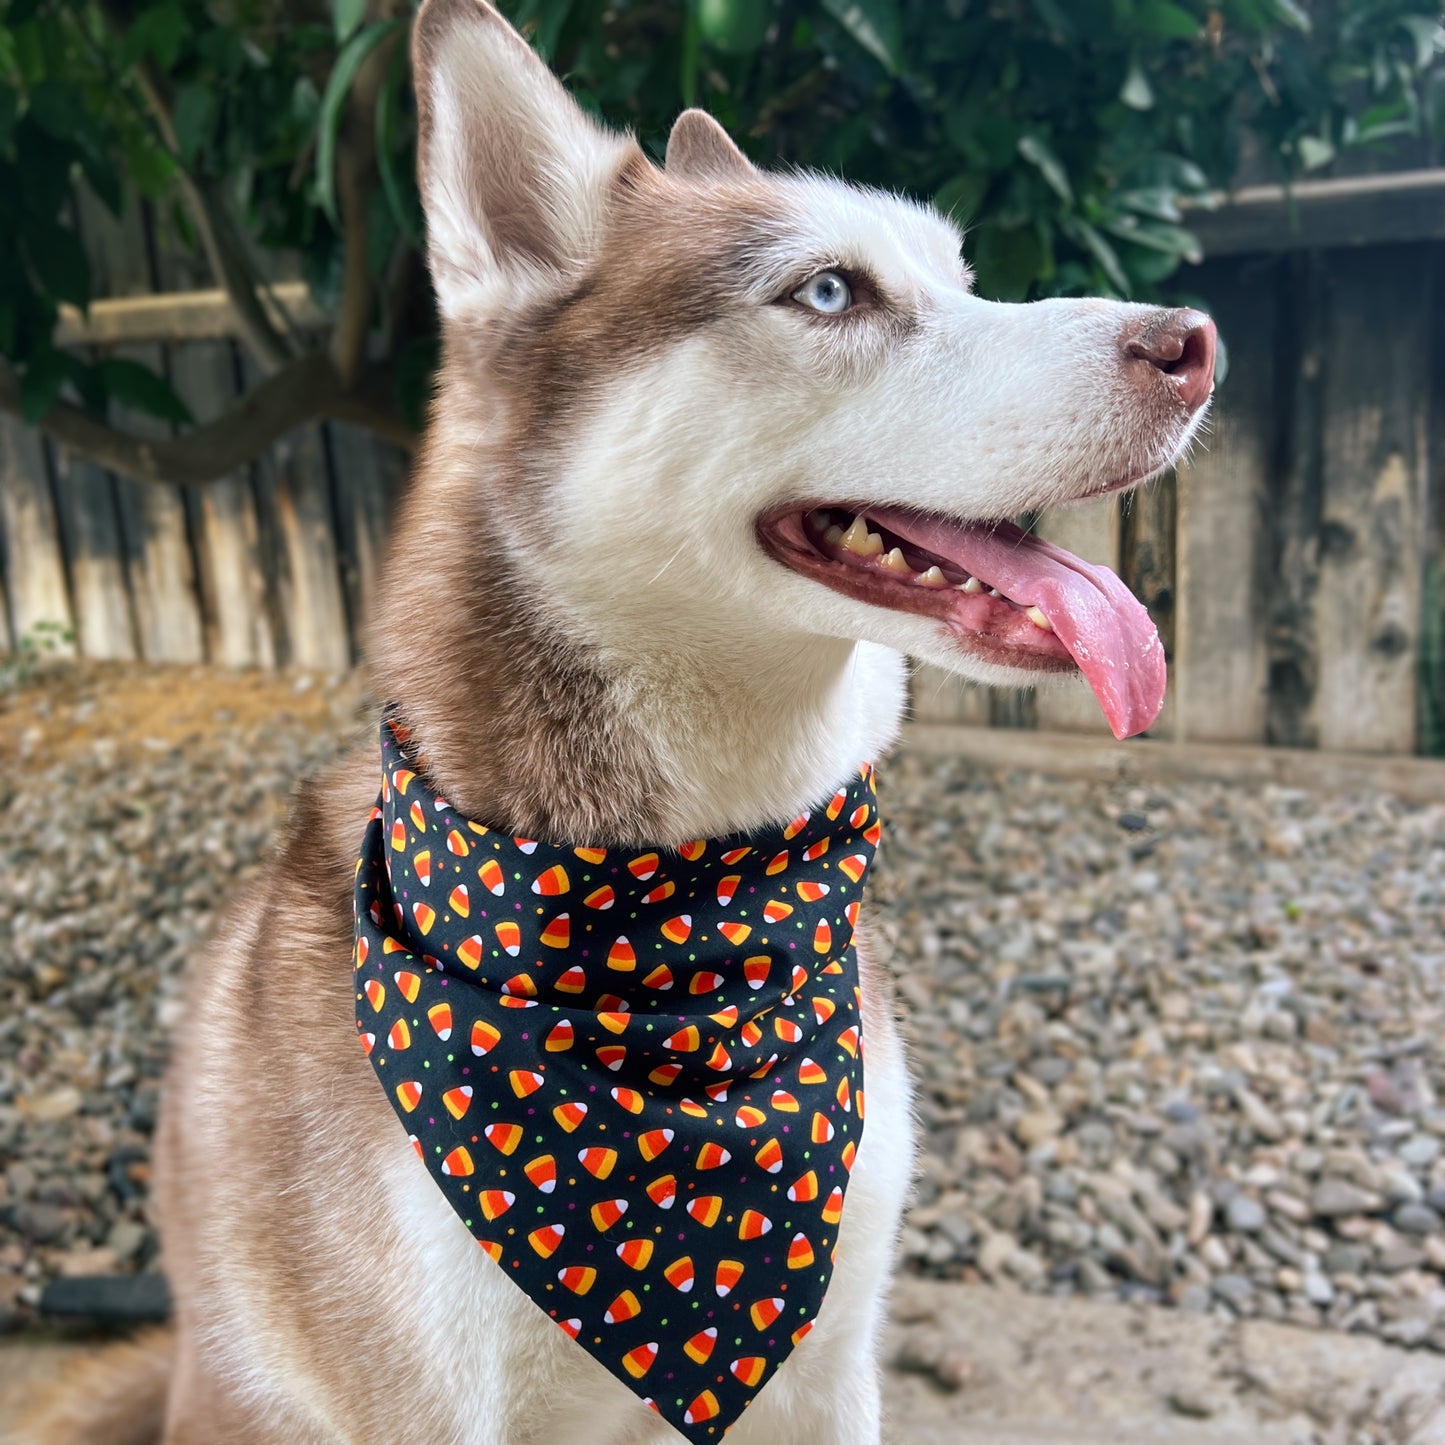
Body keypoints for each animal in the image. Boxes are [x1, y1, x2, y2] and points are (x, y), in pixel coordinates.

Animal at [16, 2, 1213, 1445]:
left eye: (966, 277)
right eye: (829, 291)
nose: (1193, 341)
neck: (687, 910)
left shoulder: (836, 1361)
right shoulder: (428, 1402)